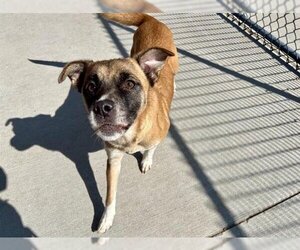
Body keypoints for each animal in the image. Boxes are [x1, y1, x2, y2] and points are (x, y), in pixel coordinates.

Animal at [58, 13, 178, 232]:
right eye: (90, 86)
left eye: (130, 84)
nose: (101, 107)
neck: (131, 134)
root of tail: (151, 19)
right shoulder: (113, 160)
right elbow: (110, 194)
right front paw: (106, 218)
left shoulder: (158, 136)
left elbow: (151, 148)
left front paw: (146, 160)